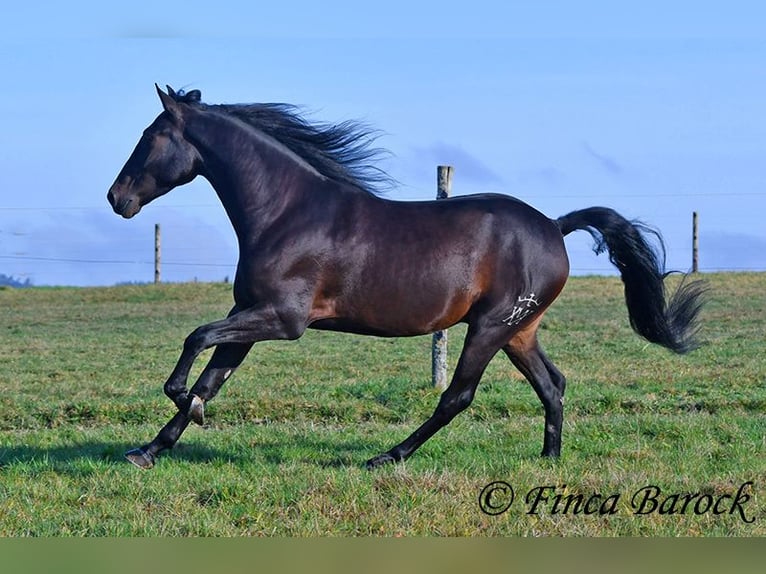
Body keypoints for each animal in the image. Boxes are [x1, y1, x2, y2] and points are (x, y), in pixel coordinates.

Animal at [108, 86, 708, 472]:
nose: (117, 199)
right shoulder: (249, 315)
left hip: (489, 327)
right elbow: (213, 376)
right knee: (552, 385)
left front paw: (183, 402)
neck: (287, 212)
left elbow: (195, 342)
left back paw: (386, 456)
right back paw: (549, 461)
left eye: (151, 136)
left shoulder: (282, 319)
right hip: (519, 330)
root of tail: (555, 228)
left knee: (458, 397)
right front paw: (150, 449)